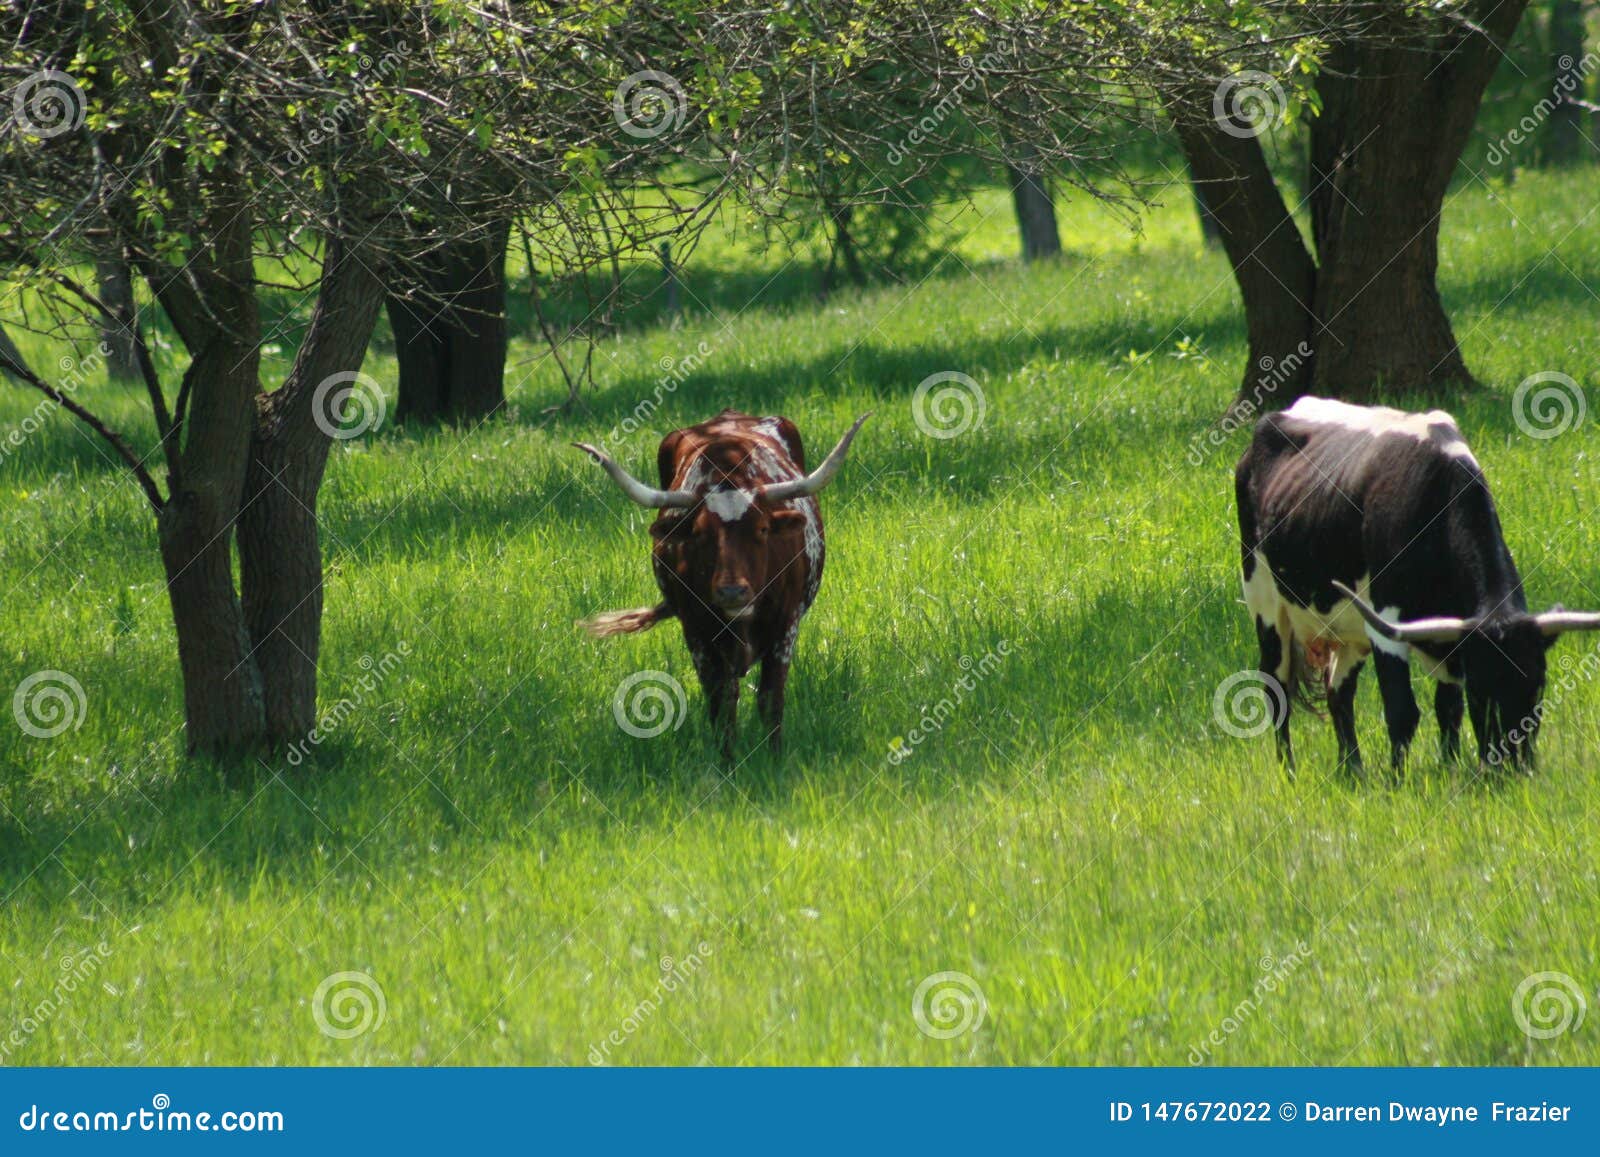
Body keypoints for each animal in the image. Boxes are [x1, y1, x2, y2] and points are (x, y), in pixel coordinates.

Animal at [576, 412, 870, 755]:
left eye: (763, 529)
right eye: (700, 532)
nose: (732, 591)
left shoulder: (786, 627)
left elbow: (771, 700)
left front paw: (775, 759)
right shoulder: (698, 636)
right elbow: (721, 706)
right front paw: (726, 762)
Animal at [1235, 398, 1600, 777]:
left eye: (1538, 685)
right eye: (1480, 690)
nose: (1513, 768)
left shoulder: (1451, 639)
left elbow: (1448, 709)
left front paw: (1450, 767)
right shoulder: (1385, 622)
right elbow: (1402, 712)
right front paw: (1398, 780)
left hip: (1347, 631)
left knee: (1339, 693)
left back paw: (1353, 771)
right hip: (1266, 606)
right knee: (1277, 692)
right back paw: (1289, 773)